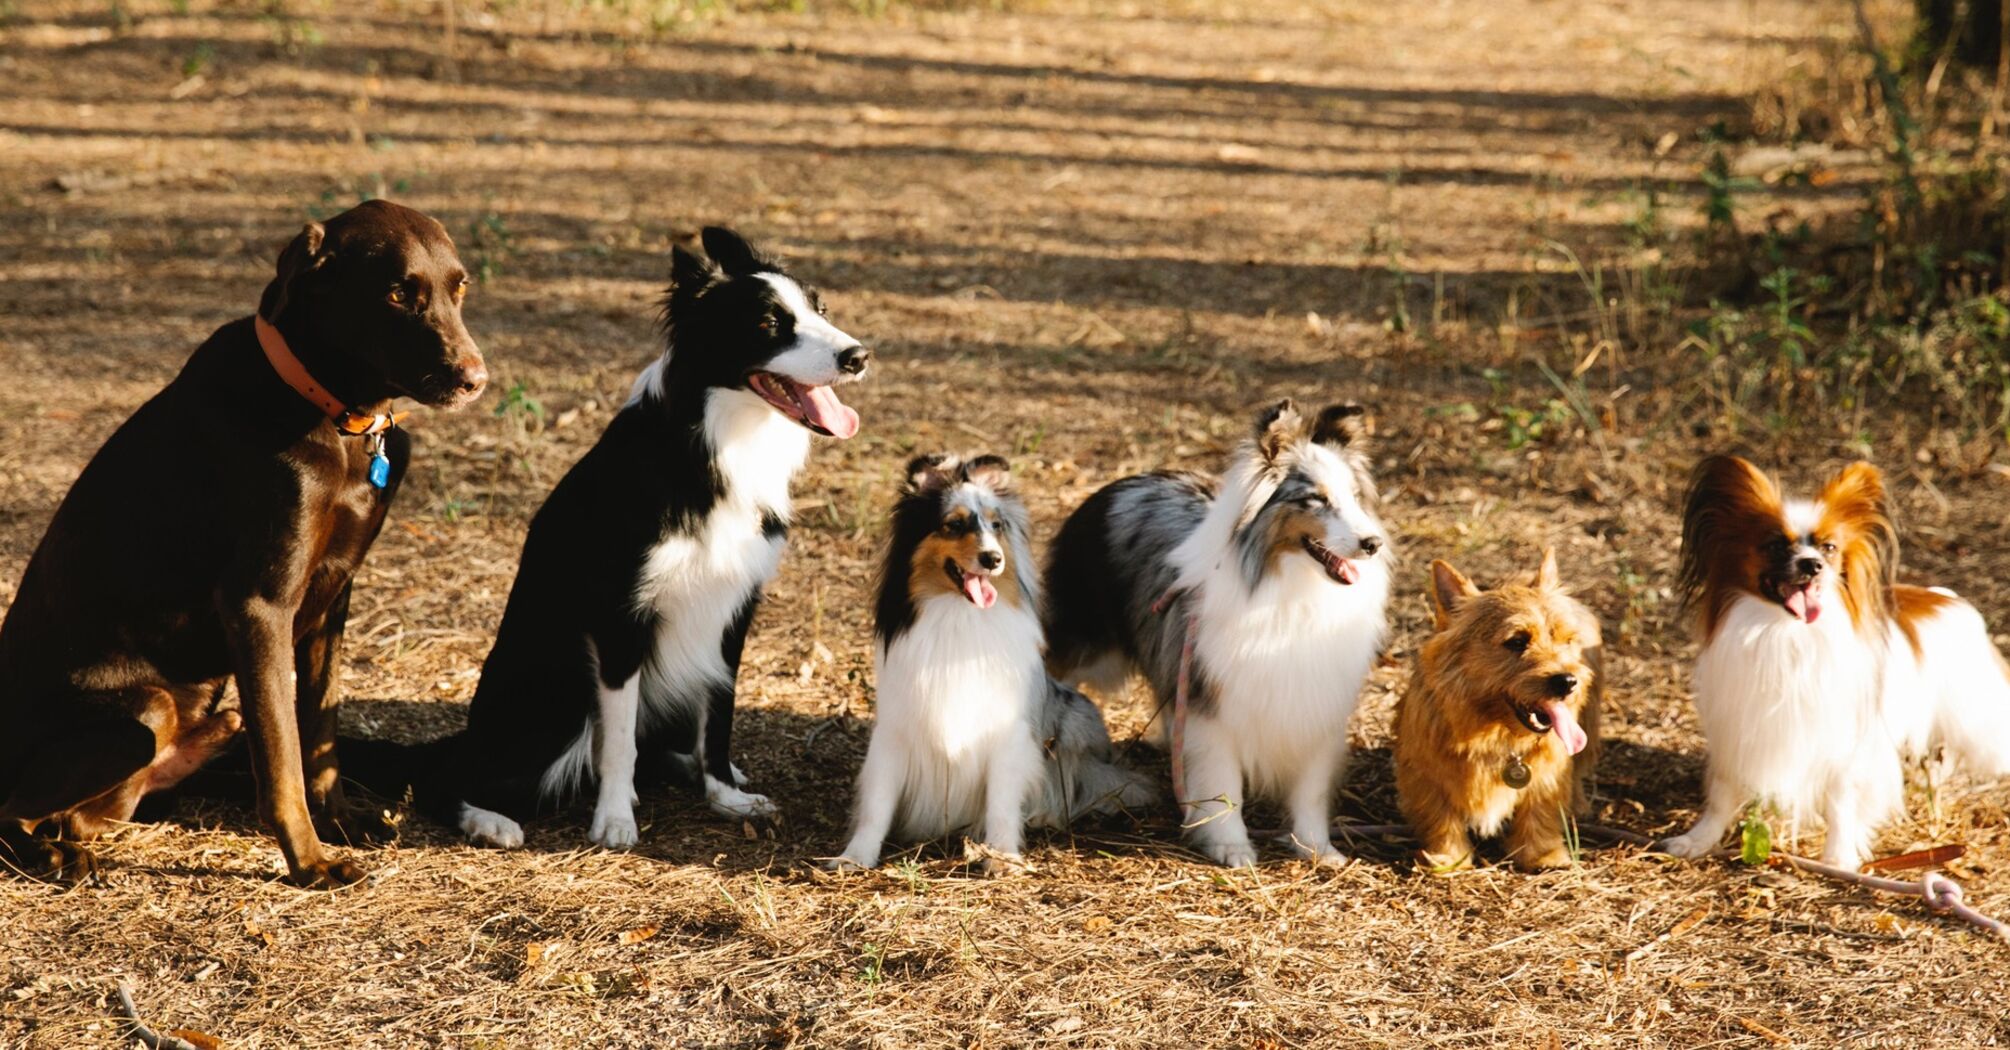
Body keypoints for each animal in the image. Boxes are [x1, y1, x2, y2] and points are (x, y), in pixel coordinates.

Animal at [828, 452, 1149, 868]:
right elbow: (877, 803)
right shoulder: (895, 730)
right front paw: (856, 855)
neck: (959, 616)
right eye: (954, 524)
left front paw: (1002, 856)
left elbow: (1001, 802)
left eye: (997, 526)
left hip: (1076, 716)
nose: (993, 559)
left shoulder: (1007, 733)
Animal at [1045, 396, 1390, 860]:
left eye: (1355, 498)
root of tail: (1117, 484)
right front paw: (1231, 846)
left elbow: (1311, 790)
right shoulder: (1213, 705)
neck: (1290, 588)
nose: (1373, 544)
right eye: (1315, 499)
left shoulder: (1316, 702)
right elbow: (1225, 784)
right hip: (1086, 645)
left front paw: (1316, 848)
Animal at [1656, 452, 2010, 860]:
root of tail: (1945, 597)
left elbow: (1841, 802)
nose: (1812, 565)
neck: (1785, 632)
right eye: (1775, 545)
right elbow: (1722, 792)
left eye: (1828, 548)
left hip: (1982, 728)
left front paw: (1838, 858)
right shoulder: (1737, 730)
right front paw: (1698, 839)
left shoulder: (1845, 743)